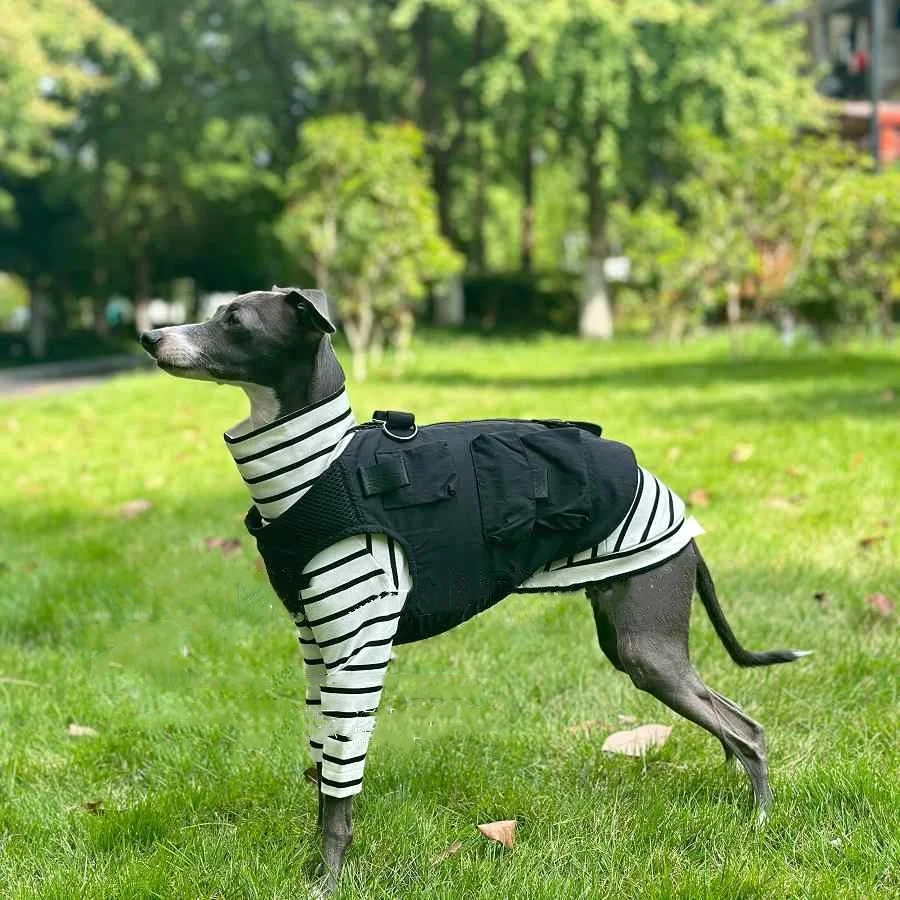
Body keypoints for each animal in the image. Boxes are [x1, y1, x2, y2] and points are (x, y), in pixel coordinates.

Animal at [140, 286, 809, 895]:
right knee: (726, 722)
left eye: (235, 321)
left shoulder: (358, 652)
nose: (150, 338)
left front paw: (327, 882)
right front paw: (313, 866)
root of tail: (681, 514)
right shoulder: (317, 650)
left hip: (646, 647)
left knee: (748, 731)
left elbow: (339, 785)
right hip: (632, 640)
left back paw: (759, 822)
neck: (315, 469)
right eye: (217, 310)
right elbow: (322, 768)